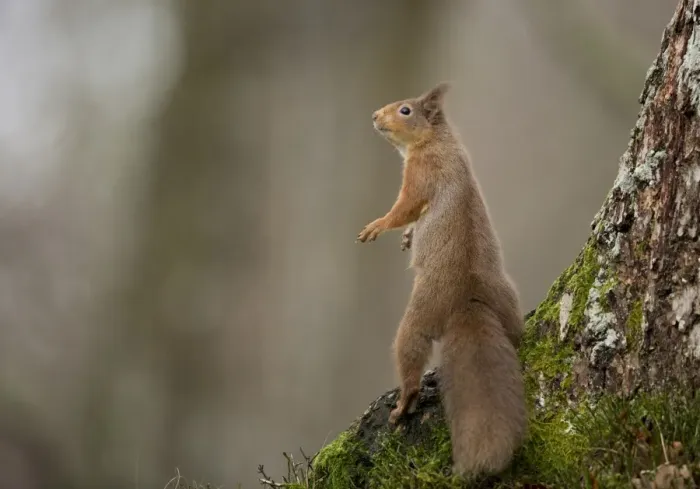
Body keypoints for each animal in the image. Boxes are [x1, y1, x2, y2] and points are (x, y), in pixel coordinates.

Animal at [356, 82, 527, 477]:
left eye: (405, 110)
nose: (374, 116)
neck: (438, 139)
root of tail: (466, 300)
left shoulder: (421, 174)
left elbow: (404, 209)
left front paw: (378, 227)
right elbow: (410, 220)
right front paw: (407, 238)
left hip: (417, 319)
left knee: (411, 357)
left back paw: (403, 406)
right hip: (507, 303)